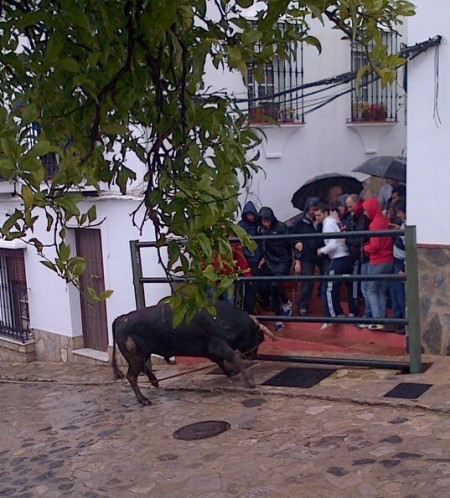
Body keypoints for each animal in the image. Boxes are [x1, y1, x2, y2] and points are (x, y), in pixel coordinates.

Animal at [112, 304, 274, 404]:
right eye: (259, 337)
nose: (252, 355)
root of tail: (122, 319)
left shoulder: (213, 350)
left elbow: (221, 361)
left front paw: (231, 372)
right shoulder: (218, 345)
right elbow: (232, 357)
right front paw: (250, 381)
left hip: (142, 354)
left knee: (142, 368)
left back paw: (154, 381)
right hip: (135, 355)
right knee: (131, 376)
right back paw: (143, 399)